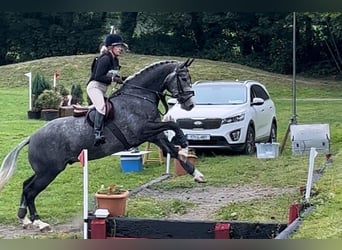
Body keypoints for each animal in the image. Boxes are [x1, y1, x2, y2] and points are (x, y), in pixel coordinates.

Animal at [0, 57, 206, 231]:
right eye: (184, 78)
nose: (190, 105)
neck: (139, 96)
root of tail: (32, 137)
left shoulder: (153, 136)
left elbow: (173, 148)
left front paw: (196, 173)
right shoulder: (144, 130)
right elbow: (172, 125)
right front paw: (184, 143)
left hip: (45, 170)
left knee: (26, 185)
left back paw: (24, 218)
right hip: (49, 171)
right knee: (31, 191)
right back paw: (39, 222)